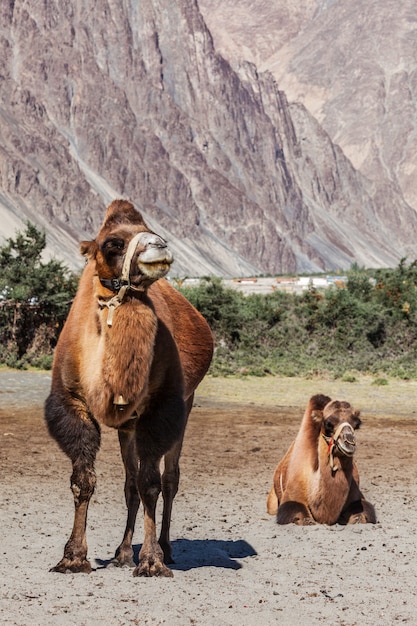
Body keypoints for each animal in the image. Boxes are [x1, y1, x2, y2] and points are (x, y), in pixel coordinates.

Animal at [45, 200, 213, 576]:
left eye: (152, 229)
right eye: (112, 243)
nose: (159, 246)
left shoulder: (160, 408)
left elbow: (152, 483)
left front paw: (151, 560)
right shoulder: (72, 403)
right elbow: (84, 479)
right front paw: (73, 557)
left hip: (185, 405)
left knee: (169, 479)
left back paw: (165, 548)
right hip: (128, 426)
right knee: (129, 482)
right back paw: (122, 552)